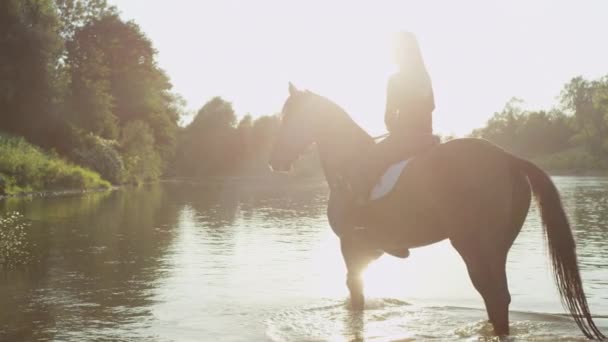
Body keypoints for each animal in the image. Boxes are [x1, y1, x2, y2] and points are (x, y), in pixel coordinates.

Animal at [268, 83, 604, 340]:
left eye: (290, 117)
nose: (275, 161)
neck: (349, 160)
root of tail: (508, 157)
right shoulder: (365, 251)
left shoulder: (349, 246)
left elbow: (356, 297)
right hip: (497, 248)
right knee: (498, 300)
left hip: (474, 247)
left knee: (494, 298)